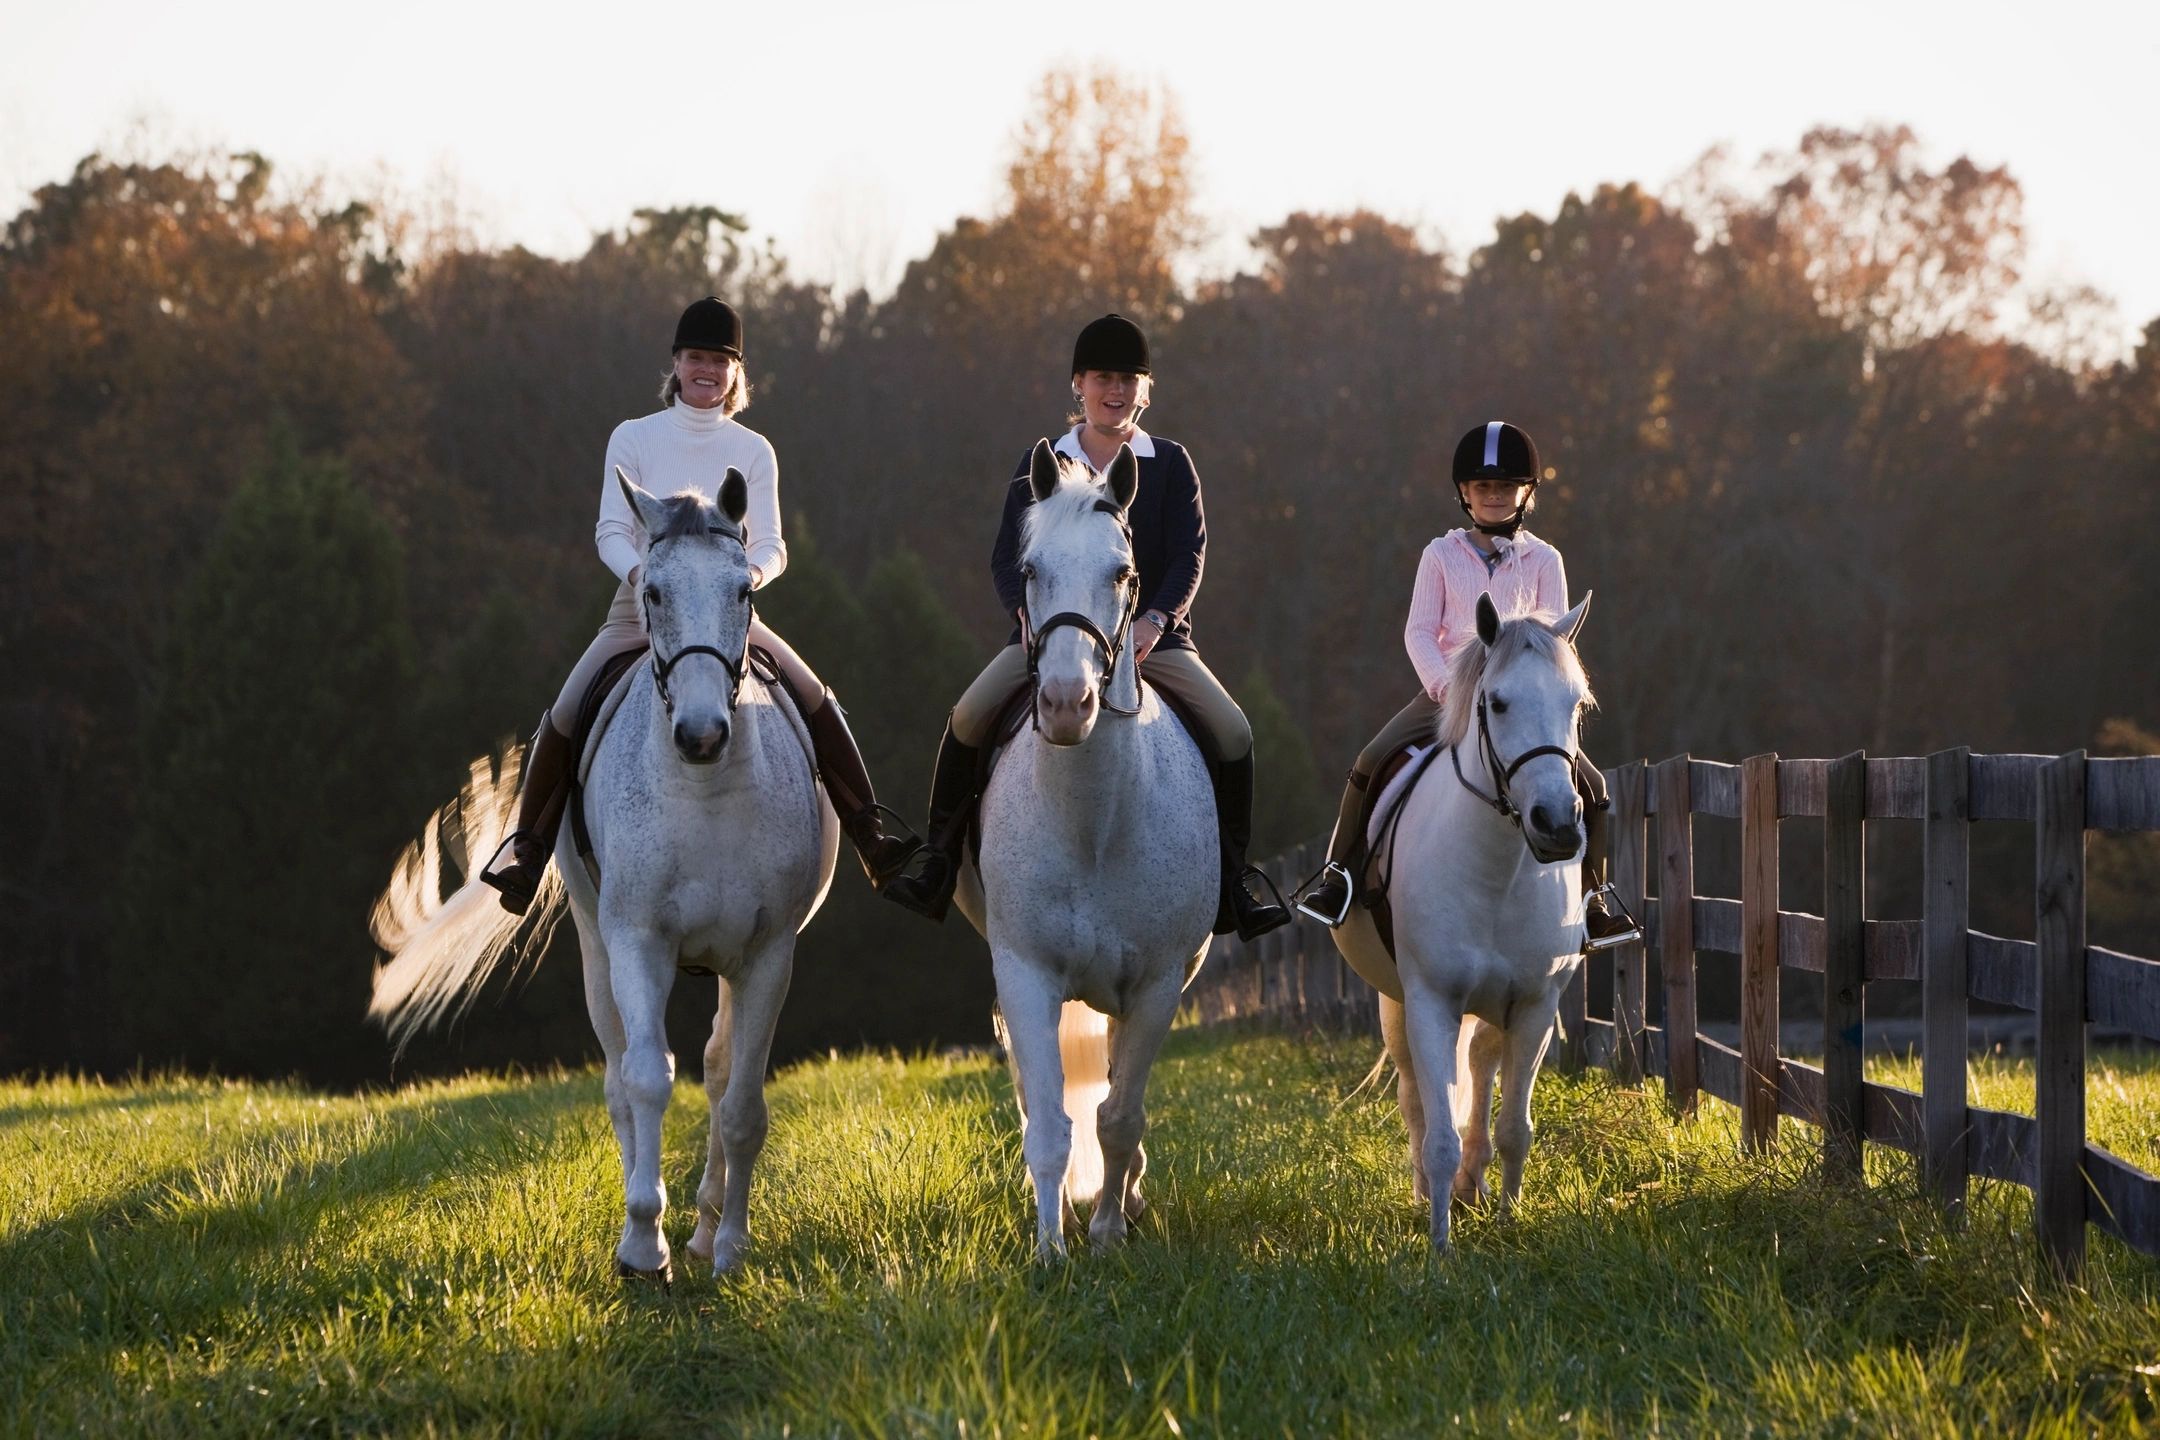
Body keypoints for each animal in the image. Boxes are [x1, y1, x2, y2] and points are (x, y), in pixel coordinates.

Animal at [367, 472, 838, 1286]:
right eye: (651, 591)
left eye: (743, 590)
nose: (702, 735)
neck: (706, 790)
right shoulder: (637, 941)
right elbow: (648, 1078)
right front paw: (644, 1244)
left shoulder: (767, 955)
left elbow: (741, 1103)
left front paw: (729, 1248)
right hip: (595, 946)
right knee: (620, 1078)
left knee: (719, 1072)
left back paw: (706, 1227)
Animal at [954, 440, 1226, 1260]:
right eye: (1030, 568)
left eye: (1124, 573)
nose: (1066, 705)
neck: (1092, 822)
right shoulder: (1026, 972)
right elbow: (1049, 1121)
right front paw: (1052, 1243)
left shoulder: (1158, 985)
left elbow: (1118, 1115)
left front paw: (1107, 1229)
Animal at [1321, 591, 1598, 1252]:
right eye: (1497, 702)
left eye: (1575, 704)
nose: (1557, 825)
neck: (1498, 872)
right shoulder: (1431, 1002)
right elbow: (1438, 1130)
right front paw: (1441, 1246)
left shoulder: (1535, 1007)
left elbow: (1515, 1127)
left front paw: (1508, 1223)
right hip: (1397, 1006)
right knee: (1415, 1097)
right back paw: (1434, 1191)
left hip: (1495, 1010)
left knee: (1479, 1070)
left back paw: (1474, 1187)